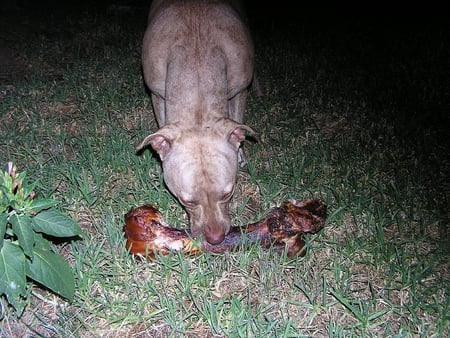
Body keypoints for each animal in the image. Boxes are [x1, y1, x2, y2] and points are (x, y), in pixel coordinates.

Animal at [137, 0, 255, 243]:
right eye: (187, 201)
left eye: (228, 193)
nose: (215, 238)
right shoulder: (157, 94)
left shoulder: (241, 90)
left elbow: (237, 117)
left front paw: (240, 153)